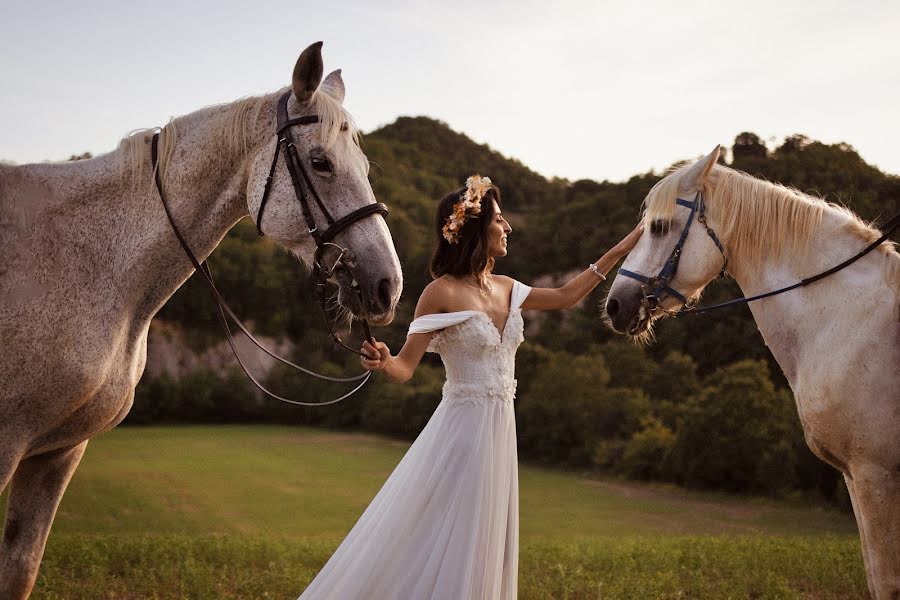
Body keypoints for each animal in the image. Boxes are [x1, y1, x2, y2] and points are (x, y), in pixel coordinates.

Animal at [0, 43, 400, 600]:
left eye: (363, 164)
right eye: (320, 162)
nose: (388, 285)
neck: (88, 260)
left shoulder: (58, 453)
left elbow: (19, 570)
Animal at [604, 146, 900, 600]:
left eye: (659, 227)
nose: (615, 305)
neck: (845, 315)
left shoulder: (875, 474)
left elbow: (886, 581)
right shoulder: (857, 478)